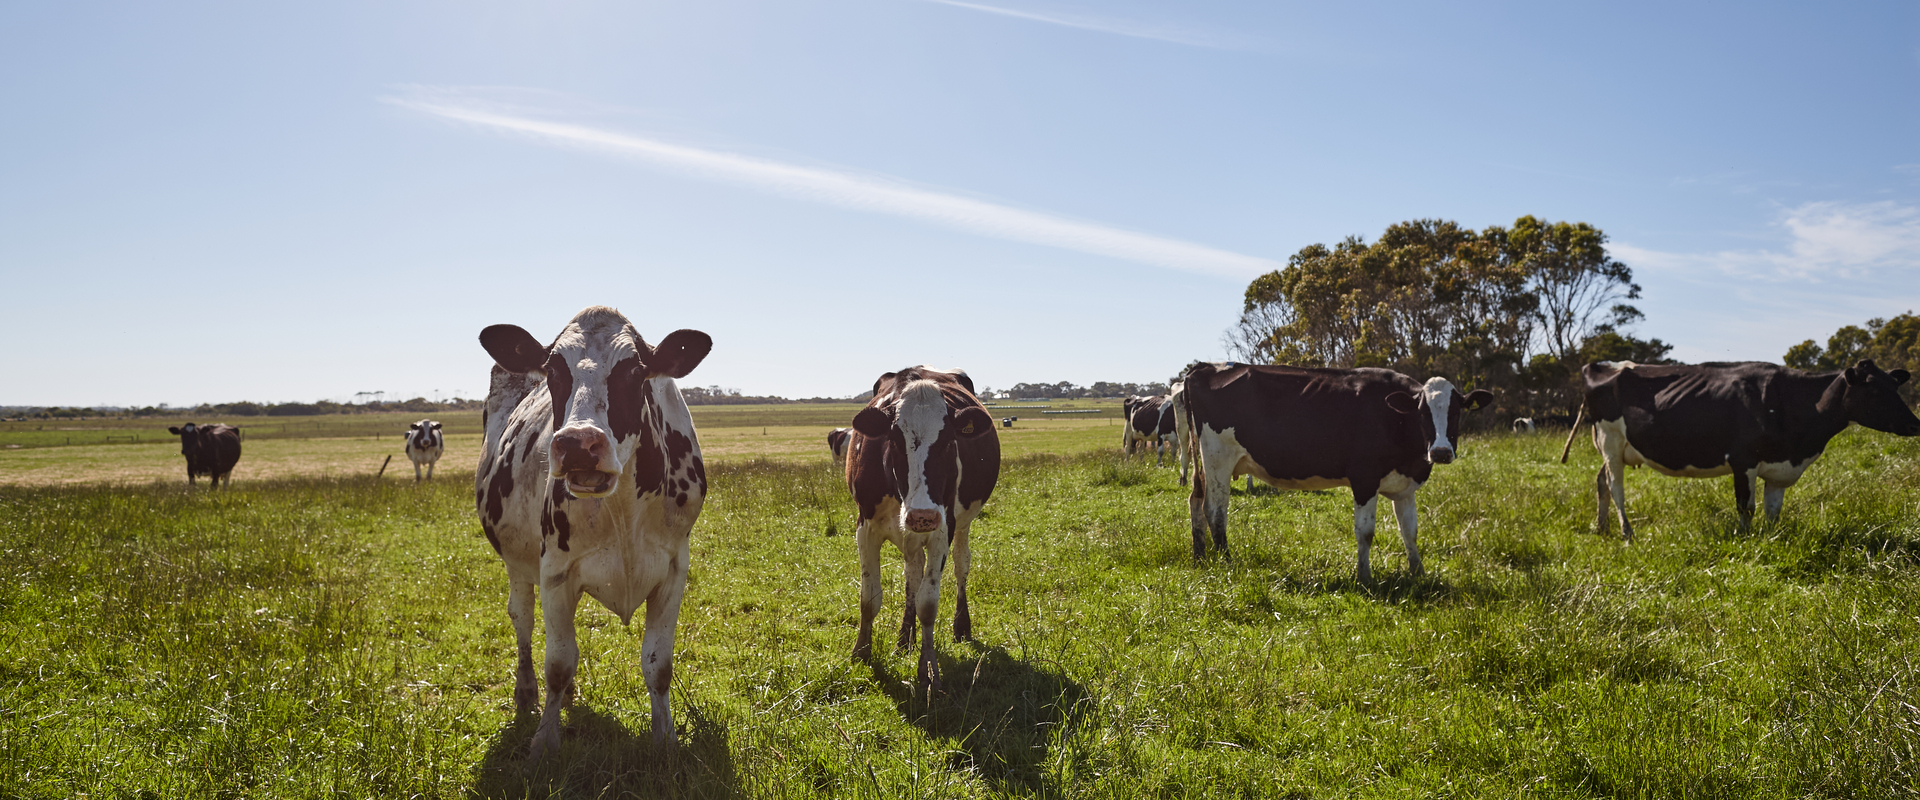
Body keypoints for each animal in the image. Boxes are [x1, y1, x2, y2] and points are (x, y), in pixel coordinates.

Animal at [473, 306, 712, 758]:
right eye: (552, 370)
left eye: (635, 370)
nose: (579, 444)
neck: (623, 509)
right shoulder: (555, 573)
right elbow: (557, 663)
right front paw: (544, 741)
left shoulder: (674, 569)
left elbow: (658, 665)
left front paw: (666, 738)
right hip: (518, 564)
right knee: (523, 621)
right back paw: (526, 693)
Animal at [844, 365, 1000, 692]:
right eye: (894, 439)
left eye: (949, 441)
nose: (922, 516)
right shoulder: (865, 528)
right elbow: (869, 597)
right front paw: (862, 652)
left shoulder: (942, 530)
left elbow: (927, 604)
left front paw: (928, 668)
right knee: (911, 578)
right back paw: (905, 640)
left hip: (959, 526)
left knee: (961, 566)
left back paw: (961, 627)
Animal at [1182, 363, 1492, 582]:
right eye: (1422, 412)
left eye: (1455, 412)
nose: (1440, 452)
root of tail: (1204, 367)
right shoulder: (1364, 479)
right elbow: (1365, 531)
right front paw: (1364, 577)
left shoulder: (1404, 486)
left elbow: (1410, 531)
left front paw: (1419, 574)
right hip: (1218, 457)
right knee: (1215, 510)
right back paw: (1226, 562)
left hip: (1204, 462)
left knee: (1195, 500)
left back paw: (1200, 558)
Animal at [1572, 359, 1920, 541]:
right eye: (1873, 390)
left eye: (1894, 386)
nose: (1916, 424)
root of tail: (1602, 364)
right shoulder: (1743, 460)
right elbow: (1746, 507)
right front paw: (1745, 539)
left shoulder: (1779, 467)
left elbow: (1773, 511)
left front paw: (1772, 537)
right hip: (1610, 440)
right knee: (1616, 487)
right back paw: (1627, 533)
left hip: (1613, 447)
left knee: (1601, 482)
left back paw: (1601, 527)